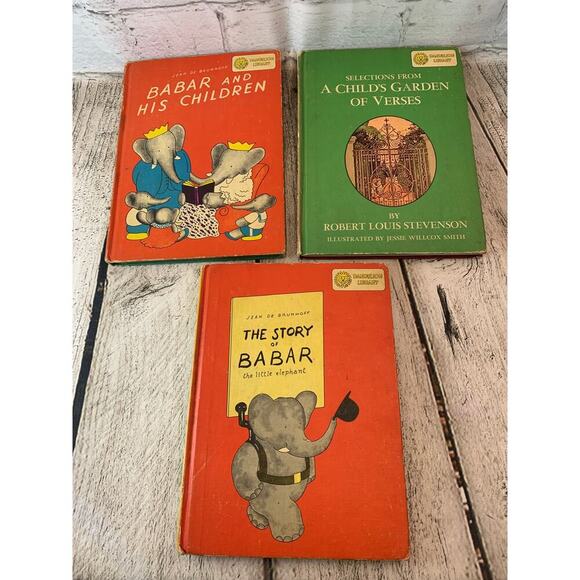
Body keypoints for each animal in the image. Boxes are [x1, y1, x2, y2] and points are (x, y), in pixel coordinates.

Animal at [231, 391, 338, 542]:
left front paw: (311, 478)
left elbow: (310, 453)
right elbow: (243, 457)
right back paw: (290, 536)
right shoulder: (253, 447)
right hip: (270, 498)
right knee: (281, 506)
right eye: (283, 426)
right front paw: (254, 490)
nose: (336, 417)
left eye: (301, 425)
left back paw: (258, 521)